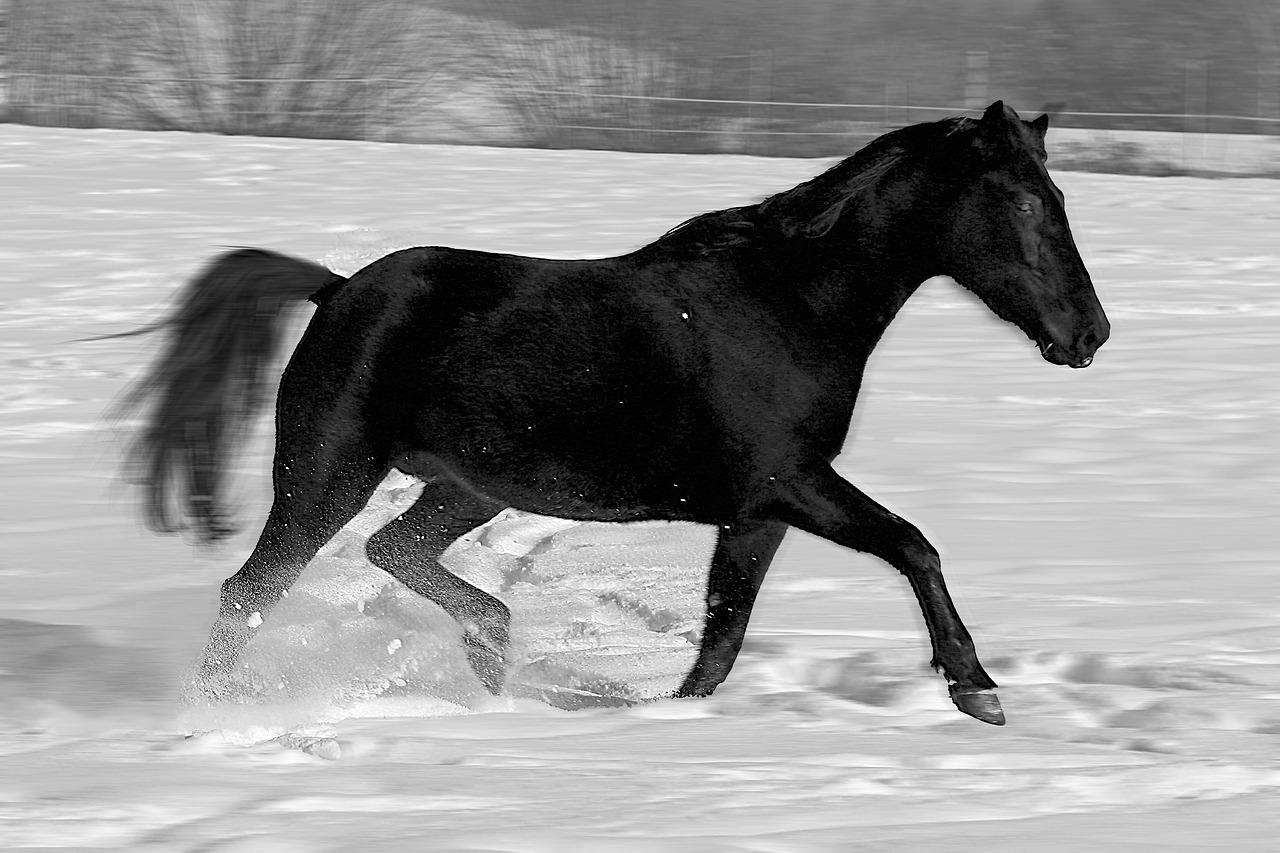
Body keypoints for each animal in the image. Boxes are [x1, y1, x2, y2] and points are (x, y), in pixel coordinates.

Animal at [120, 101, 1111, 722]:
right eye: (1027, 201)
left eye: (1059, 196)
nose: (1090, 333)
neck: (790, 304)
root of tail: (336, 290)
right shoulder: (790, 483)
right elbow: (914, 544)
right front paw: (977, 688)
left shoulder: (758, 514)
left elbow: (720, 641)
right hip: (328, 472)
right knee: (252, 590)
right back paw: (216, 715)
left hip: (468, 486)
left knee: (393, 549)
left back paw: (492, 650)